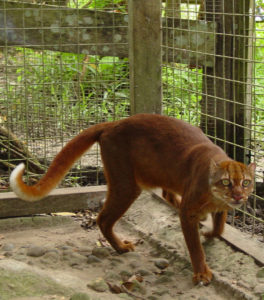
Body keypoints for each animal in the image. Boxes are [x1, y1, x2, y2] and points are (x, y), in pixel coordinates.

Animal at [9, 113, 255, 284]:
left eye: (246, 182)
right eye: (226, 182)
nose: (238, 195)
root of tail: (113, 123)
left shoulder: (219, 206)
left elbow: (220, 225)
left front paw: (210, 232)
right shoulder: (189, 211)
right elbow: (195, 246)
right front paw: (202, 273)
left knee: (165, 194)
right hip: (126, 184)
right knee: (103, 218)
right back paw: (120, 247)